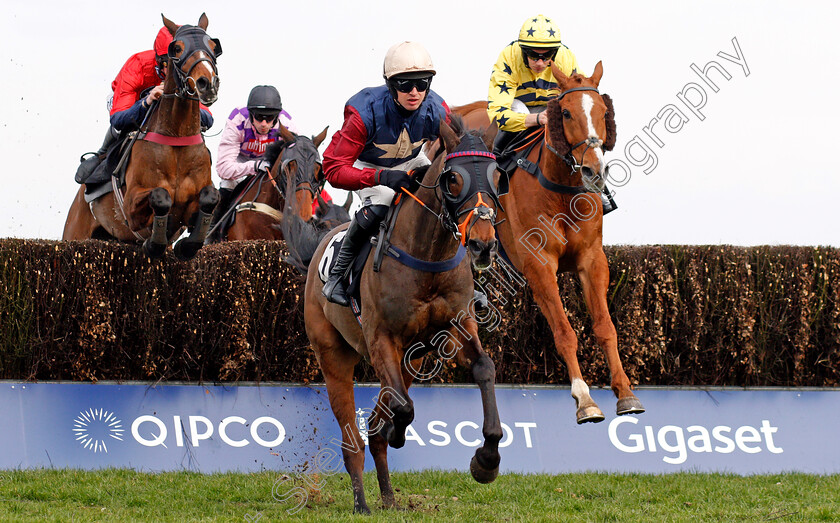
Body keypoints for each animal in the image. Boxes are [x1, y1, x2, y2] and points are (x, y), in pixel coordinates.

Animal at [62, 14, 221, 262]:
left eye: (213, 46)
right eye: (177, 48)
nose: (207, 84)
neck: (176, 137)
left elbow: (210, 197)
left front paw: (186, 246)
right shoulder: (130, 206)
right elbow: (160, 196)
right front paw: (154, 244)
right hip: (74, 231)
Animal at [292, 116, 506, 512]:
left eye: (498, 176)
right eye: (454, 179)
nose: (483, 245)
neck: (428, 256)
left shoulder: (455, 328)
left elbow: (485, 369)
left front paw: (486, 461)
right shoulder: (381, 340)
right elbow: (403, 409)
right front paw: (398, 433)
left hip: (412, 360)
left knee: (379, 423)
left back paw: (389, 497)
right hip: (333, 355)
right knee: (353, 437)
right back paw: (362, 502)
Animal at [452, 60, 644, 426]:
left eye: (602, 112)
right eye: (565, 113)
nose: (593, 171)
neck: (561, 190)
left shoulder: (591, 260)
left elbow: (605, 326)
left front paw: (625, 392)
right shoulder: (538, 266)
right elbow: (564, 332)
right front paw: (584, 399)